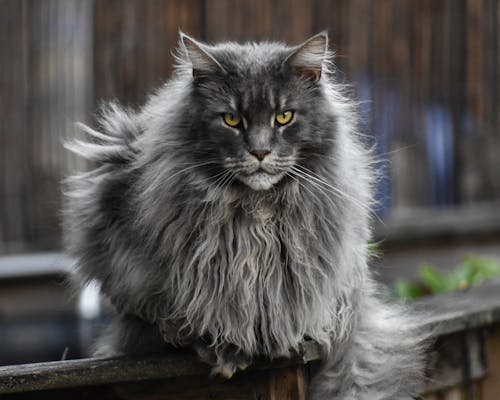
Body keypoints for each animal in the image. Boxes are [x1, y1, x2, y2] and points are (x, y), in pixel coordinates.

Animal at [63, 32, 426, 400]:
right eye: (232, 120)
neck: (256, 212)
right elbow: (195, 313)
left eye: (284, 117)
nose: (260, 152)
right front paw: (221, 349)